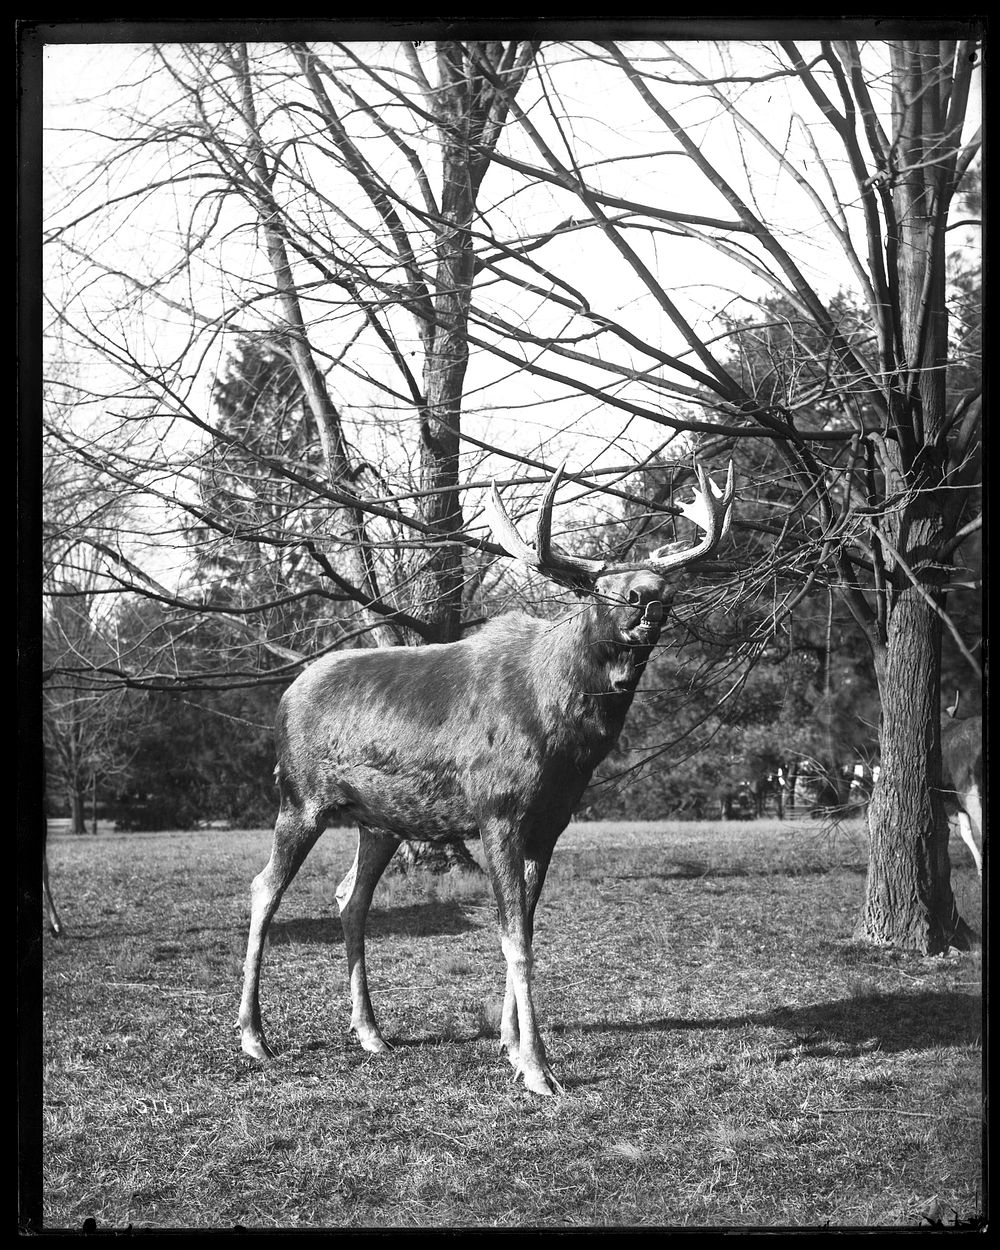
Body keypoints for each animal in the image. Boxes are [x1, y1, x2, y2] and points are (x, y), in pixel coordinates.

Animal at [236, 460, 735, 1095]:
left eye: (664, 586)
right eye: (600, 588)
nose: (648, 595)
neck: (569, 740)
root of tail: (285, 695)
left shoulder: (550, 824)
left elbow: (526, 926)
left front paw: (509, 1042)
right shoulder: (498, 811)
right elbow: (513, 938)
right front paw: (537, 1067)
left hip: (380, 821)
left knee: (351, 897)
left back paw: (371, 1032)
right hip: (299, 798)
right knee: (264, 889)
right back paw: (254, 1036)